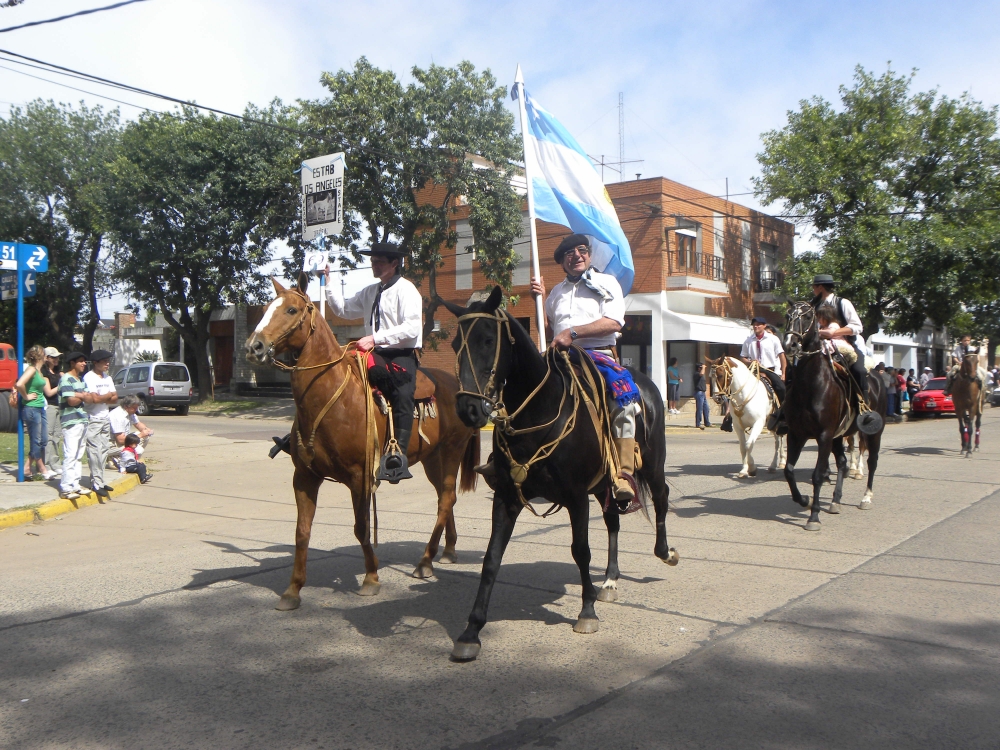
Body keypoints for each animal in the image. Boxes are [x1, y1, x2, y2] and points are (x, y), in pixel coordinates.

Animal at [242, 280, 476, 608]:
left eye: (291, 309)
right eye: (265, 308)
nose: (255, 347)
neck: (331, 400)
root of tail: (458, 387)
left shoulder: (360, 476)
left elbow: (361, 527)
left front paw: (371, 578)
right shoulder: (304, 477)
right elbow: (302, 531)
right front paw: (292, 590)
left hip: (453, 449)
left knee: (446, 499)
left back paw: (425, 562)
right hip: (433, 458)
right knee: (447, 496)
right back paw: (449, 550)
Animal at [446, 288, 680, 664]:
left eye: (487, 339)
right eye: (455, 343)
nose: (468, 408)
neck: (539, 411)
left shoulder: (575, 496)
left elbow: (580, 550)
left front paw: (586, 613)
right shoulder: (507, 497)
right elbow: (491, 559)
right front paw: (471, 631)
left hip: (652, 465)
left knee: (661, 498)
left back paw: (665, 553)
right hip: (604, 486)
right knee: (613, 521)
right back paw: (610, 580)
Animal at [784, 302, 888, 532]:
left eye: (807, 317)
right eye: (787, 316)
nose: (790, 345)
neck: (811, 385)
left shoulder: (824, 435)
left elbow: (817, 475)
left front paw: (813, 517)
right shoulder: (796, 434)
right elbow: (789, 470)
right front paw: (805, 501)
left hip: (873, 433)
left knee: (872, 462)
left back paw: (866, 498)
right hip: (838, 436)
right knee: (842, 462)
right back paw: (835, 501)